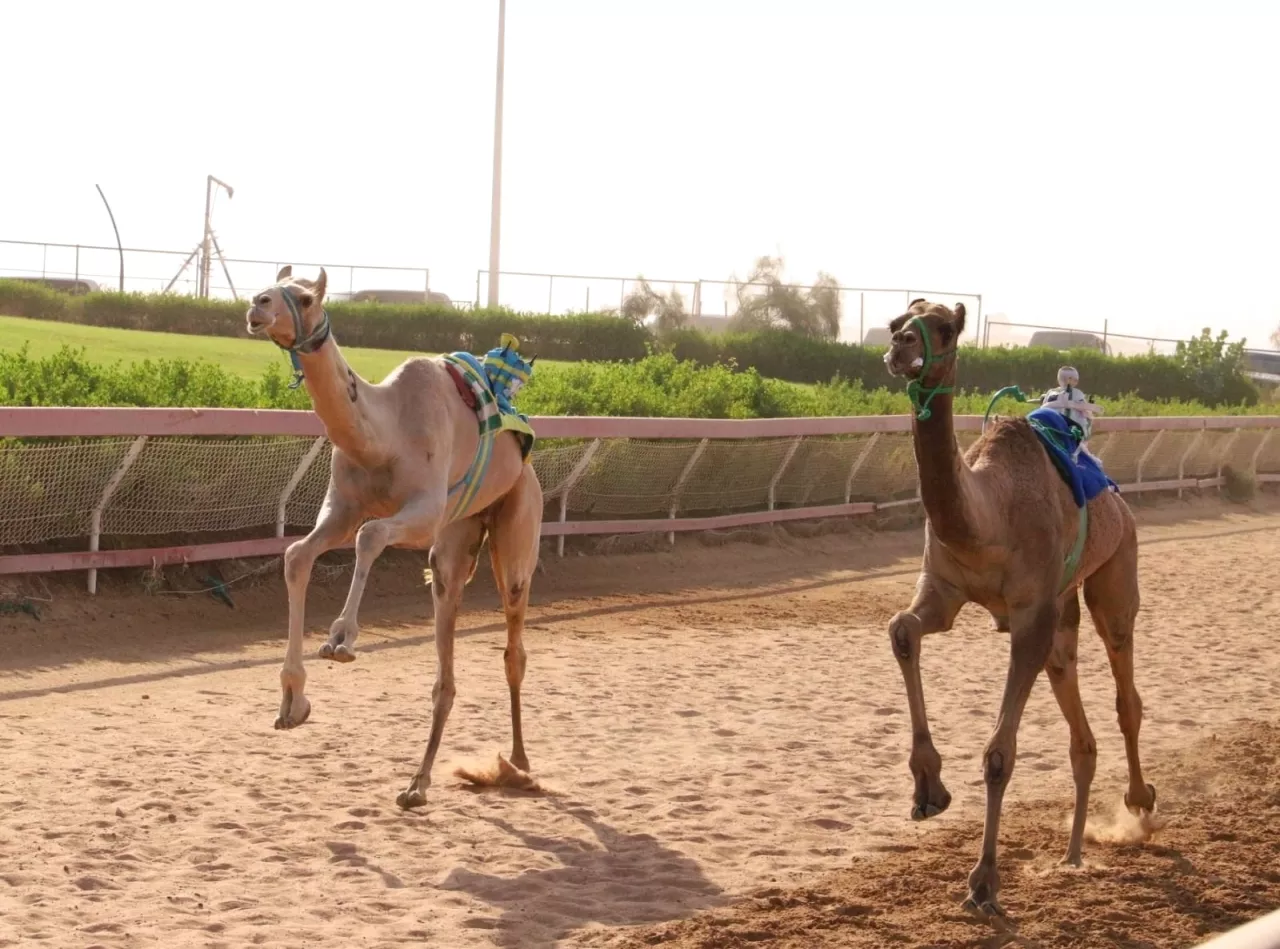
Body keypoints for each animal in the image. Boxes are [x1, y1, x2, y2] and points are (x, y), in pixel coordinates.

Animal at [243, 266, 540, 809]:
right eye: (272, 285)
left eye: (305, 297)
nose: (258, 305)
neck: (385, 435)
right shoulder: (342, 509)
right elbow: (298, 555)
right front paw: (293, 700)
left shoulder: (423, 511)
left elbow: (370, 536)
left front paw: (341, 638)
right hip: (457, 537)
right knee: (446, 647)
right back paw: (417, 784)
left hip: (517, 518)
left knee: (514, 642)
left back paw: (519, 764)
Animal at [885, 298, 1157, 916]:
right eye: (897, 322)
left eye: (945, 328)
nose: (900, 349)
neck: (991, 514)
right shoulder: (944, 589)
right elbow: (902, 630)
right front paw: (927, 789)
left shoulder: (1030, 614)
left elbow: (998, 756)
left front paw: (984, 882)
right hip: (1064, 616)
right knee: (1082, 736)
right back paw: (1073, 854)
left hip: (1114, 573)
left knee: (1125, 687)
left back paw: (1139, 800)